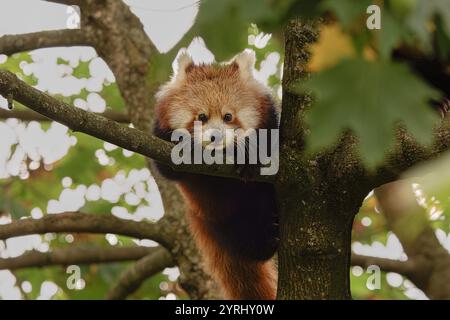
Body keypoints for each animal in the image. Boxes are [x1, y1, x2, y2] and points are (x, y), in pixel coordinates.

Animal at [152, 50, 278, 300]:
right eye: (201, 116)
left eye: (228, 116)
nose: (215, 137)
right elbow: (167, 169)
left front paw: (248, 159)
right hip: (215, 216)